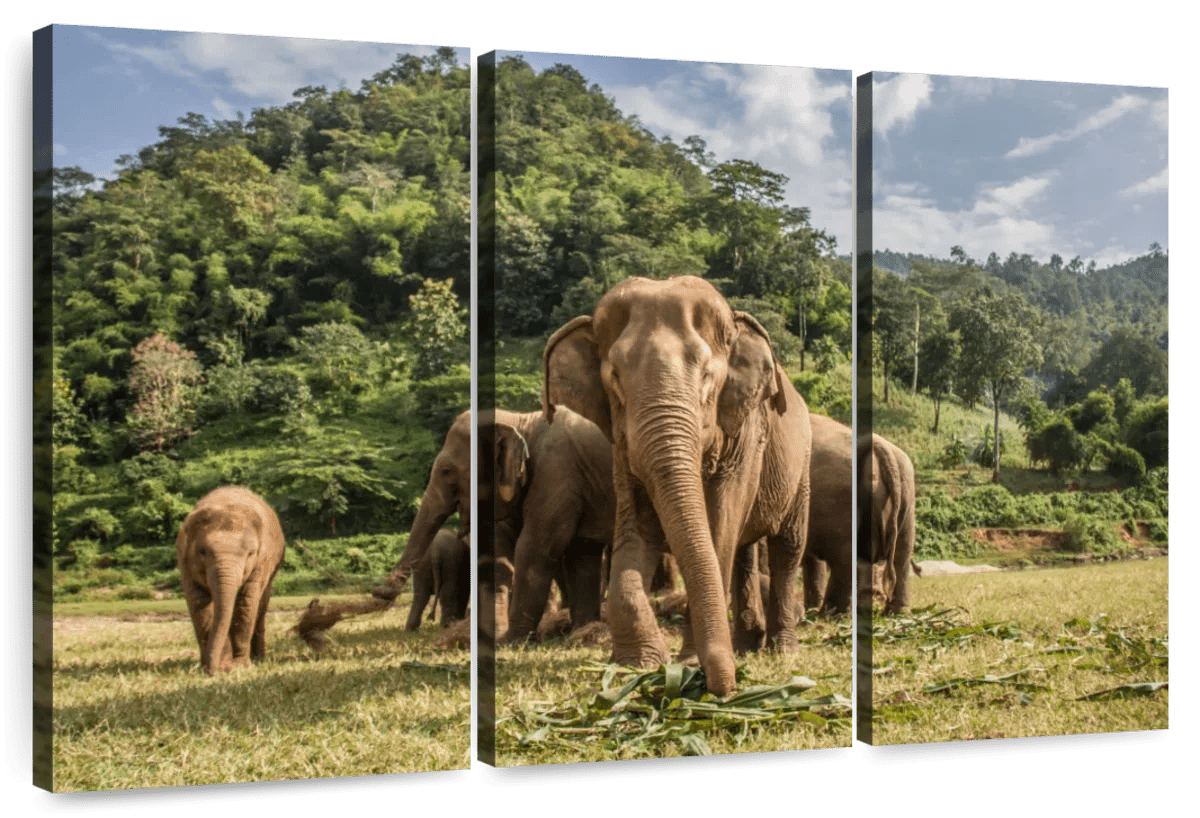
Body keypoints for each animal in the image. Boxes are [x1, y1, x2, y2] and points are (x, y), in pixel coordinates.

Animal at [176, 486, 286, 674]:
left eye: (251, 553)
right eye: (202, 551)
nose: (212, 671)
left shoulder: (262, 562)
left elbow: (246, 601)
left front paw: (239, 665)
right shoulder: (186, 564)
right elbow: (200, 603)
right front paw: (222, 666)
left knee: (261, 603)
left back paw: (259, 659)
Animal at [371, 407, 615, 642]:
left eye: (447, 471)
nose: (379, 590)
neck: (521, 421)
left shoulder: (557, 476)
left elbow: (535, 549)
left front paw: (510, 641)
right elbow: (581, 551)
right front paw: (582, 632)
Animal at [543, 275, 812, 696]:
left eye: (707, 376)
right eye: (615, 377)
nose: (726, 687)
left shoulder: (746, 435)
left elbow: (719, 526)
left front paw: (687, 663)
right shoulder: (622, 445)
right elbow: (638, 525)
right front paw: (636, 665)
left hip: (801, 467)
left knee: (787, 547)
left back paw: (782, 650)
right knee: (744, 551)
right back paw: (747, 645)